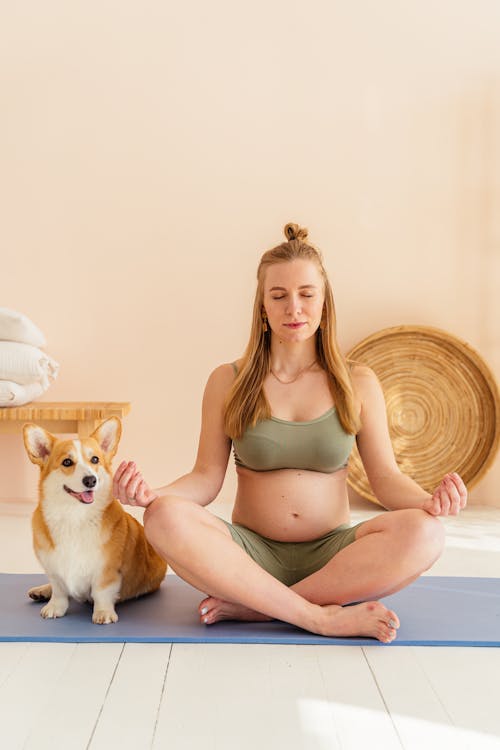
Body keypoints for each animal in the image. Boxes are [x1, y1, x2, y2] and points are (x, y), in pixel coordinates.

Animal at [22, 420, 167, 624]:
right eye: (67, 462)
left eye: (95, 460)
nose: (91, 480)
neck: (74, 516)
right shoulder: (54, 569)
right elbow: (59, 590)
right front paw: (54, 607)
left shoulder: (106, 571)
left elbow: (101, 592)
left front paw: (103, 612)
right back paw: (41, 591)